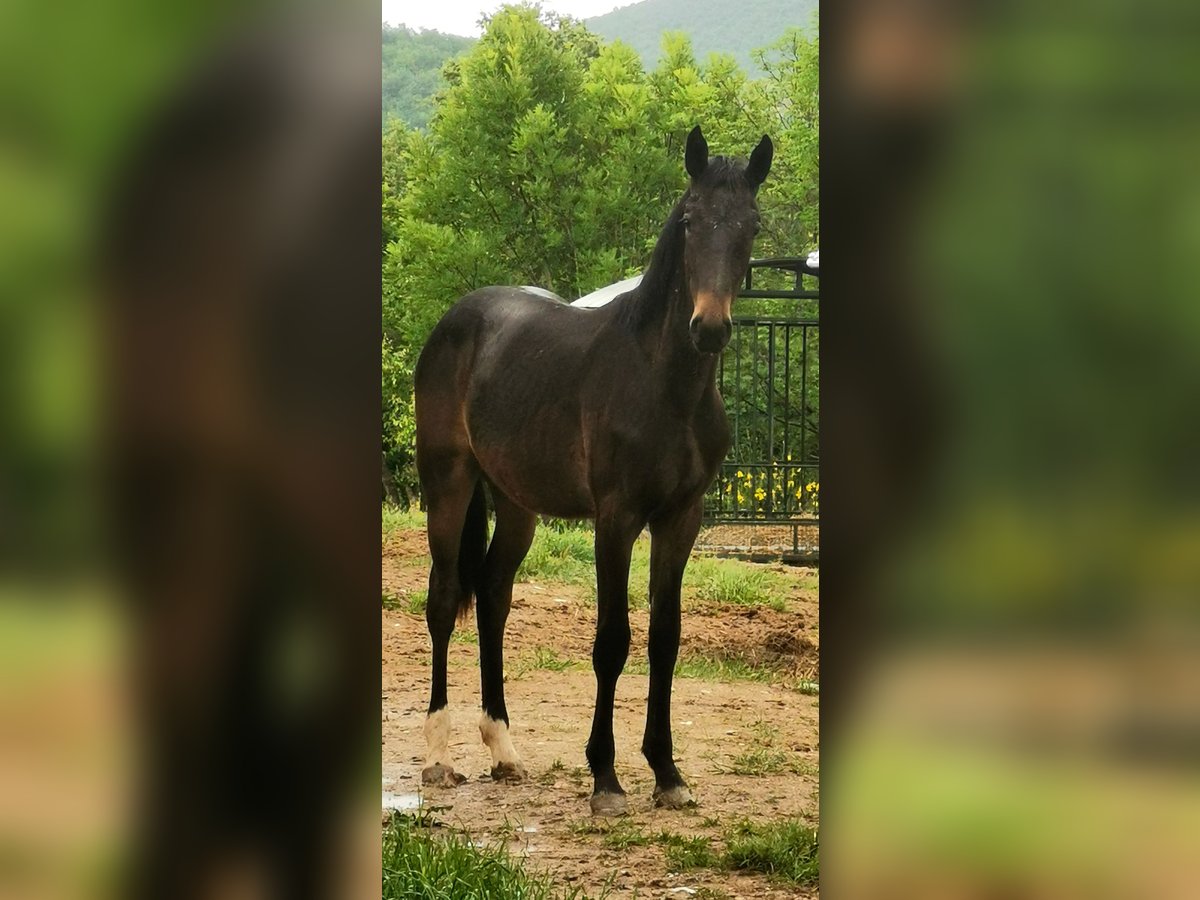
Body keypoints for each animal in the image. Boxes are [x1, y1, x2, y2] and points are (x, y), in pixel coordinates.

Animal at [415, 127, 768, 816]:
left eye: (752, 225)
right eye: (690, 220)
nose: (709, 328)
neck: (663, 385)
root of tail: (455, 319)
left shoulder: (680, 519)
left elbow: (665, 637)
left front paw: (667, 772)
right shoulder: (616, 518)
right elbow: (613, 641)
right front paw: (605, 777)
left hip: (517, 502)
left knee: (493, 596)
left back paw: (504, 750)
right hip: (447, 483)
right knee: (443, 600)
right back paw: (439, 756)